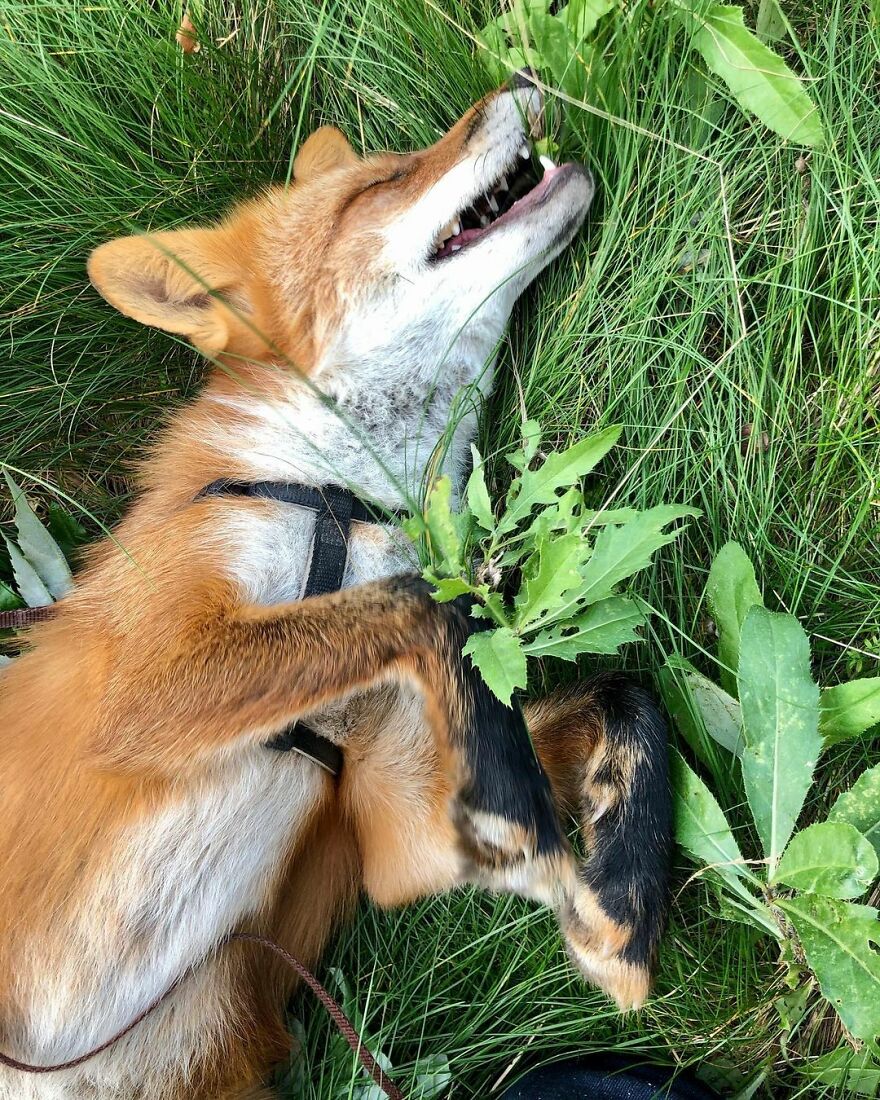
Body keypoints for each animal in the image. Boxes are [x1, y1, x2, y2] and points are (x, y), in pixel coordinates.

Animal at [0, 73, 671, 1100]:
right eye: (382, 183)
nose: (519, 82)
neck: (339, 499)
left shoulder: (389, 817)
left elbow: (629, 699)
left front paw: (622, 916)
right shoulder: (147, 688)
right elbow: (431, 606)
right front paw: (520, 803)